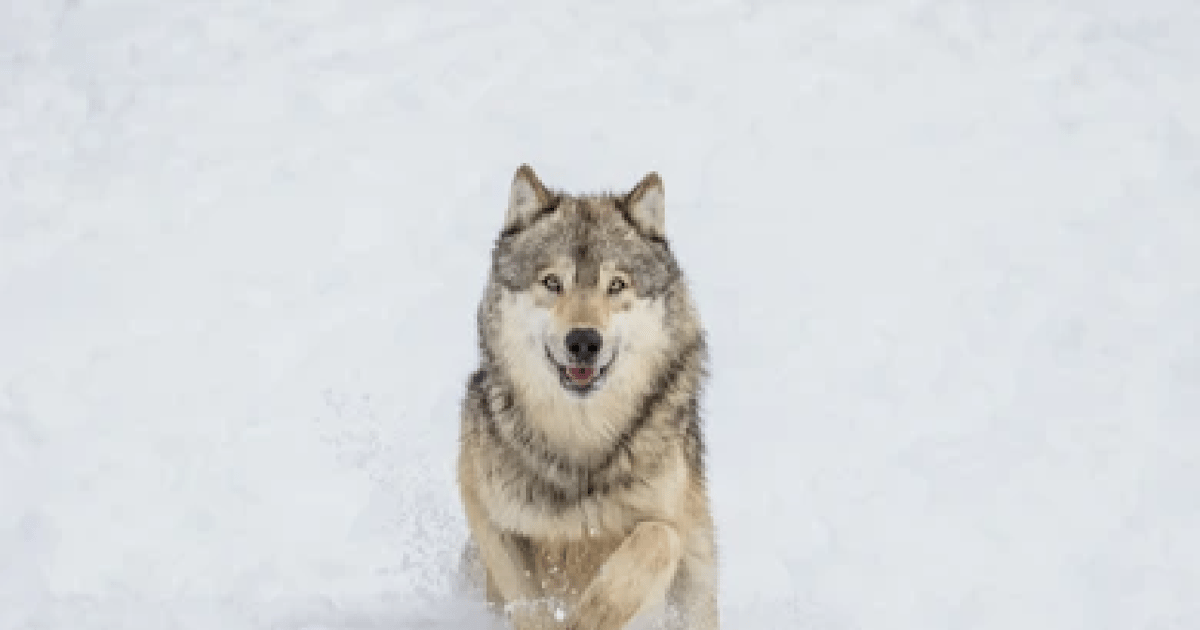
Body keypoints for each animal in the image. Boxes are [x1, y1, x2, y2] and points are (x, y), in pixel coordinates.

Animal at [456, 164, 719, 630]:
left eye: (616, 285)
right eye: (551, 282)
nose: (583, 341)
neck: (580, 437)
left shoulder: (672, 530)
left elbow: (658, 538)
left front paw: (591, 614)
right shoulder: (485, 509)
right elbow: (527, 598)